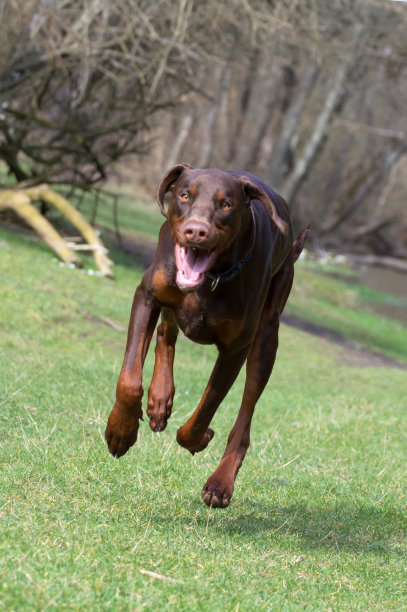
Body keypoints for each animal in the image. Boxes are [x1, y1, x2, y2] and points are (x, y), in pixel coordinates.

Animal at [106, 165, 310, 510]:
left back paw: (220, 482)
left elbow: (205, 411)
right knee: (166, 333)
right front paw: (120, 431)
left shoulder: (236, 348)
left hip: (268, 332)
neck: (213, 278)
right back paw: (159, 398)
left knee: (245, 415)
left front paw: (199, 438)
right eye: (185, 195)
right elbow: (129, 380)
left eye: (226, 204)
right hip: (168, 287)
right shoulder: (147, 295)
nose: (196, 232)